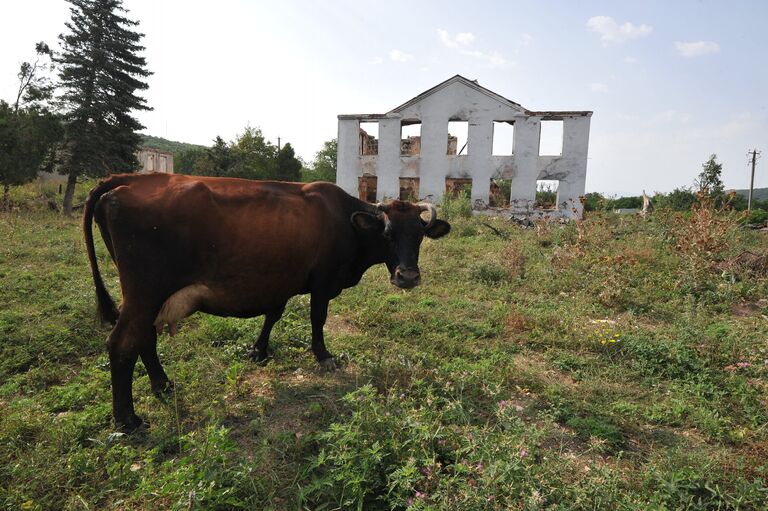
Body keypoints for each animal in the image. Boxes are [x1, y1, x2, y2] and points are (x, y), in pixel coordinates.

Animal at [84, 174, 450, 430]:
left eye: (419, 235)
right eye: (387, 235)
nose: (408, 277)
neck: (346, 221)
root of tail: (131, 179)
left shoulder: (283, 280)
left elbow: (274, 314)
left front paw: (258, 351)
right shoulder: (322, 281)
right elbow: (317, 318)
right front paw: (323, 356)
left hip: (145, 296)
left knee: (144, 337)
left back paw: (162, 385)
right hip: (145, 292)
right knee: (122, 343)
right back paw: (127, 419)